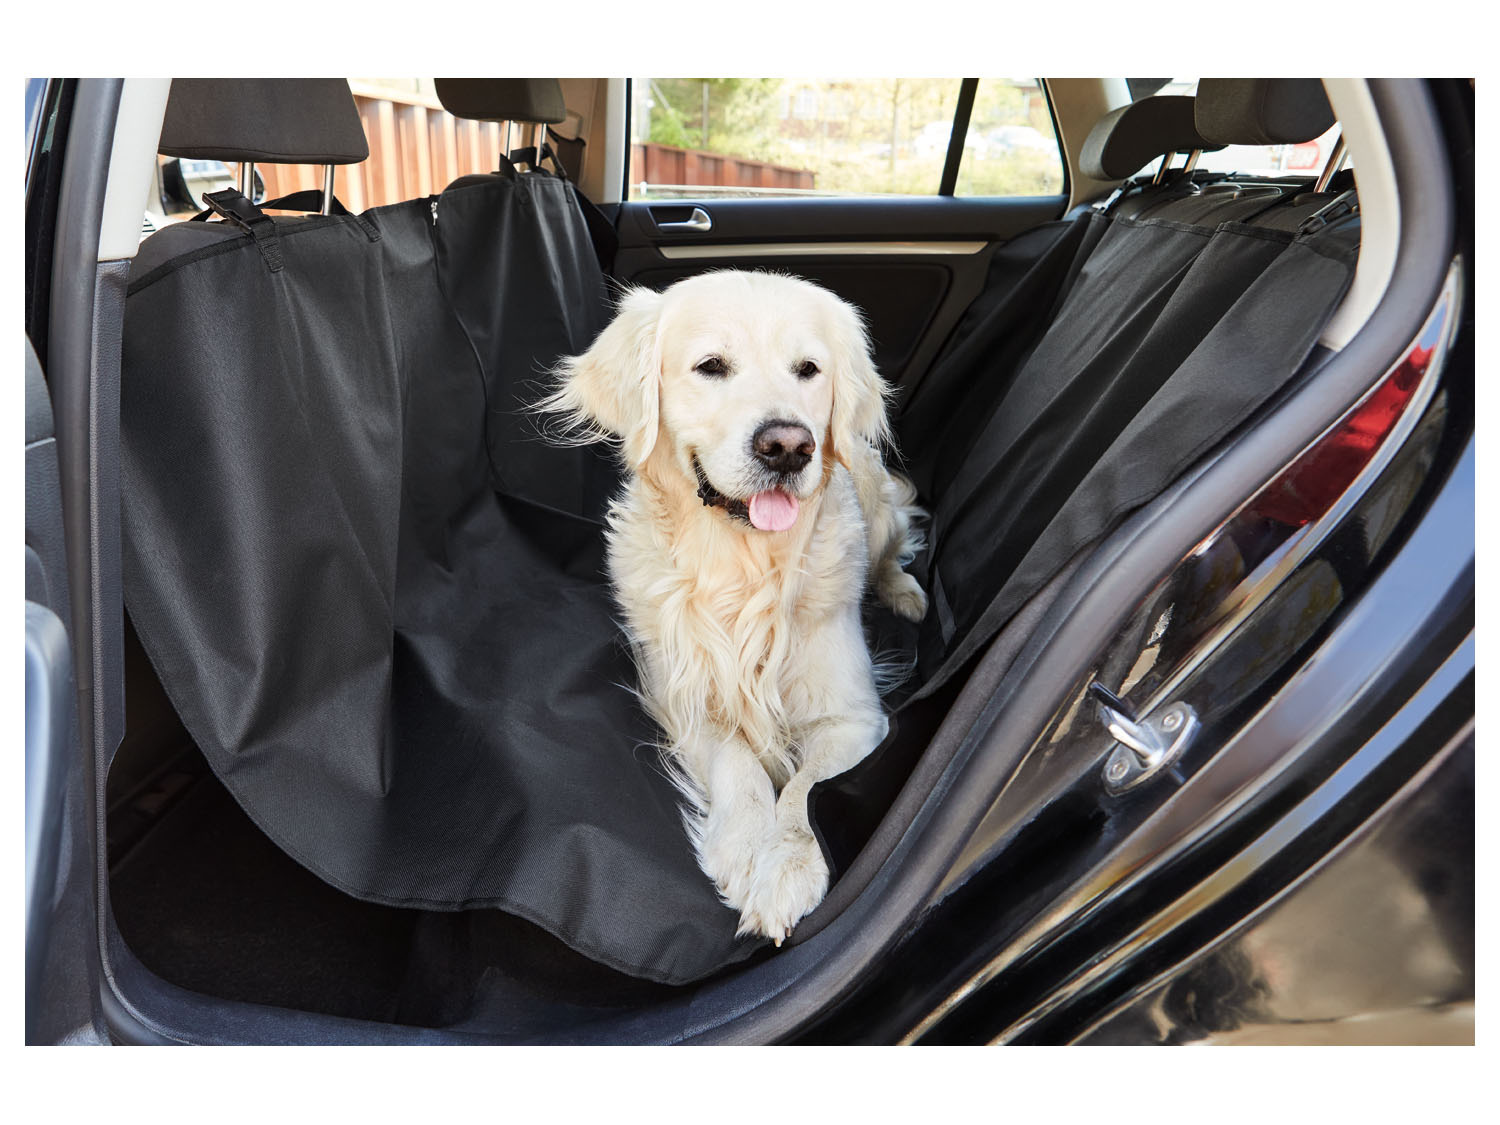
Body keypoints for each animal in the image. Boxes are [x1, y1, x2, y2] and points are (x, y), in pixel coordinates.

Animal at [543, 271, 924, 942]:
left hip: (877, 505)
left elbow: (806, 789)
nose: (788, 445)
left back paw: (904, 592)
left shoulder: (851, 718)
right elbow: (739, 763)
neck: (743, 567)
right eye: (711, 366)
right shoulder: (685, 692)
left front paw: (787, 868)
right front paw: (746, 848)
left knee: (892, 546)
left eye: (808, 369)